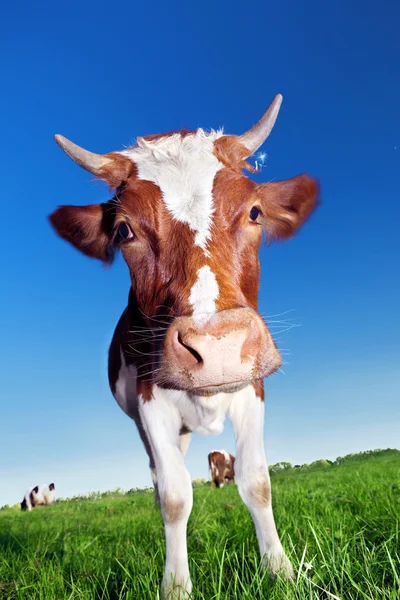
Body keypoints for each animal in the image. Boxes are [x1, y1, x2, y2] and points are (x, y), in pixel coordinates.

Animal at [49, 94, 318, 596]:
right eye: (125, 231)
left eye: (254, 211)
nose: (217, 348)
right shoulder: (150, 403)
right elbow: (174, 497)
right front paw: (175, 586)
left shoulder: (251, 389)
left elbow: (257, 482)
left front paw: (280, 570)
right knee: (161, 480)